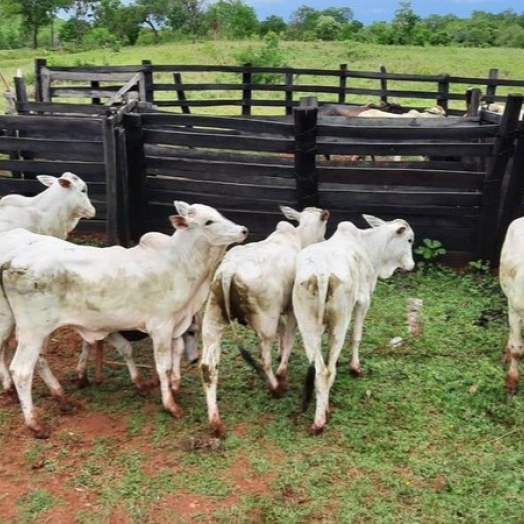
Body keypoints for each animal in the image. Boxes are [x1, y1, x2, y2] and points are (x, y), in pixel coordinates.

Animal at [200, 206, 328, 438]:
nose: (323, 239)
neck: (298, 237)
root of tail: (228, 273)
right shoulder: (291, 310)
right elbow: (288, 339)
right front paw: (282, 372)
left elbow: (283, 333)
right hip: (265, 321)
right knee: (263, 359)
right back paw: (276, 387)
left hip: (213, 318)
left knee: (207, 368)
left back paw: (216, 423)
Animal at [294, 214, 414, 434]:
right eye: (409, 240)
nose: (411, 265)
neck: (367, 245)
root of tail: (322, 275)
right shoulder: (363, 301)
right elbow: (356, 337)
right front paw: (355, 368)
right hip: (341, 318)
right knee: (326, 371)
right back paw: (321, 419)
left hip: (306, 323)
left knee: (320, 370)